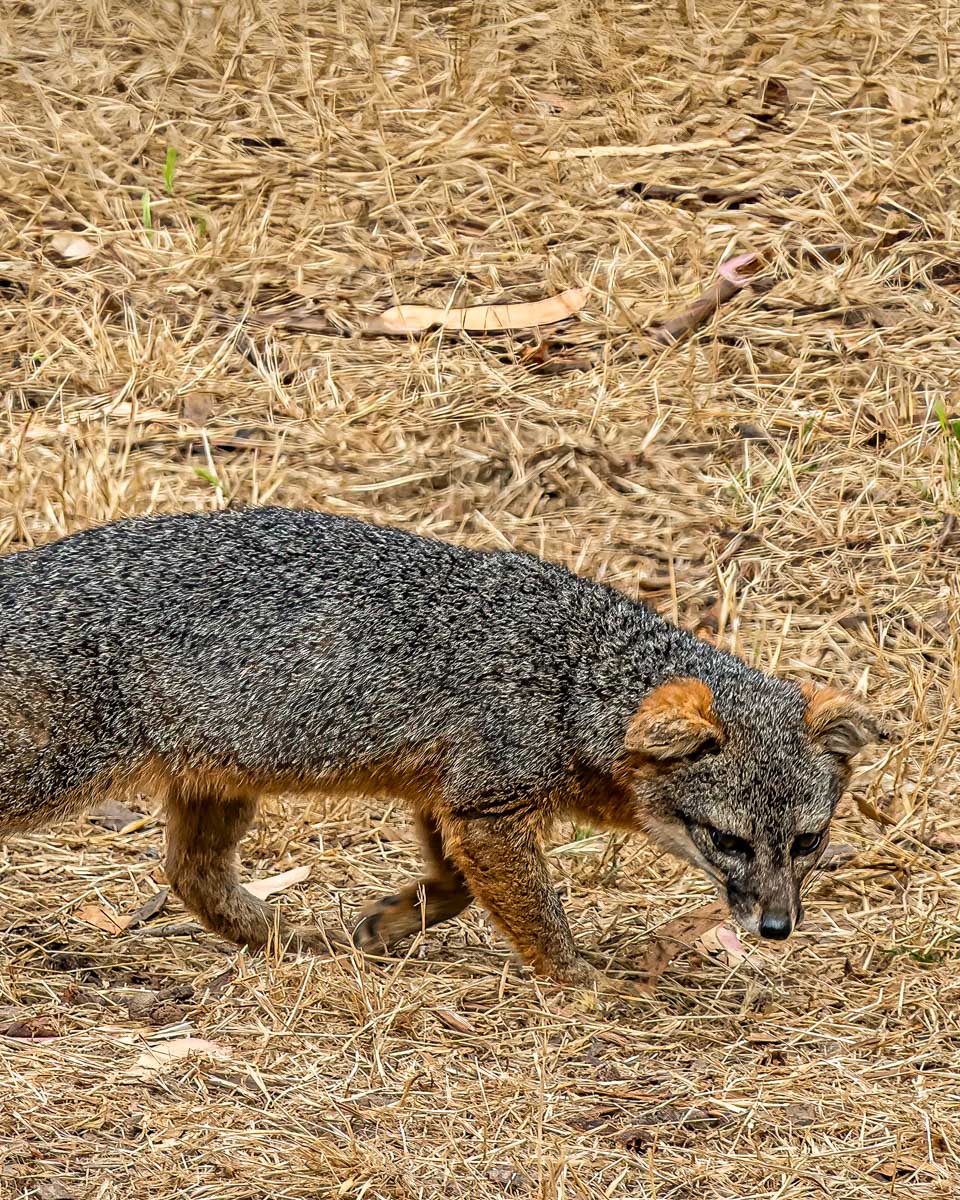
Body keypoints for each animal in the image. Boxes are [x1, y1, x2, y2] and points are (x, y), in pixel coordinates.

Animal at [0, 507, 880, 986]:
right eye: (728, 841)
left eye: (808, 841)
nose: (777, 928)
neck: (574, 673)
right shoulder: (488, 804)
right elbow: (536, 911)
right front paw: (581, 981)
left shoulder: (449, 793)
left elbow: (455, 887)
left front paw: (391, 921)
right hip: (52, 772)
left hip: (219, 778)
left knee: (191, 875)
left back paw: (290, 940)